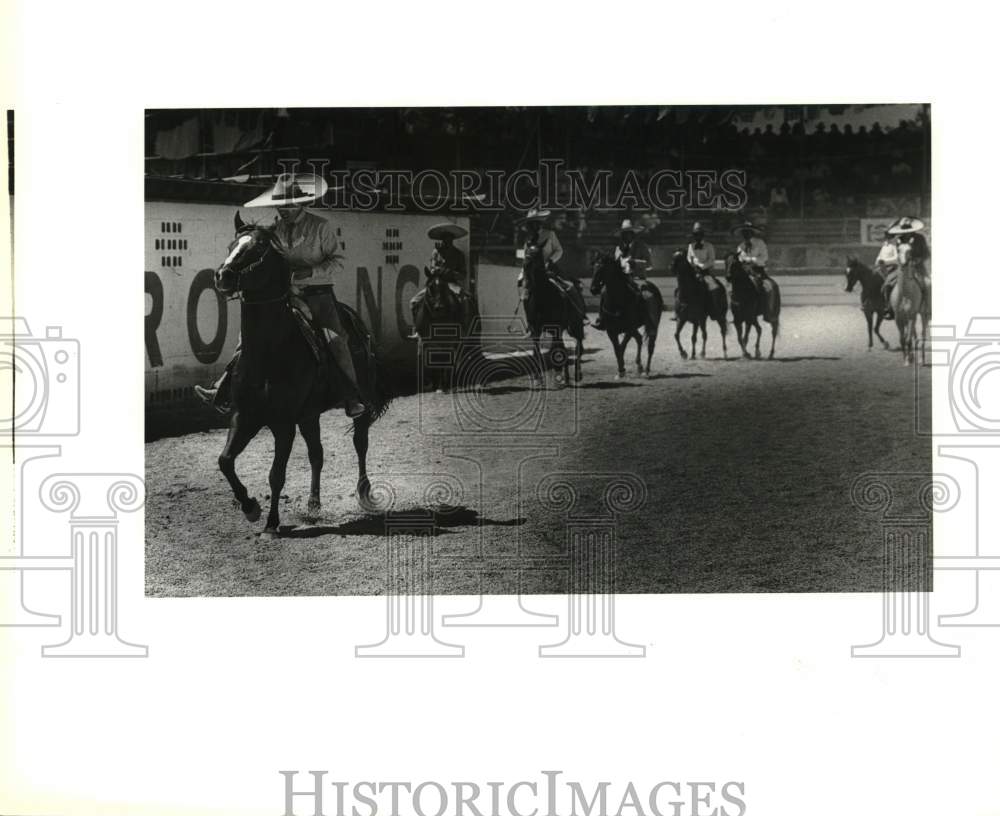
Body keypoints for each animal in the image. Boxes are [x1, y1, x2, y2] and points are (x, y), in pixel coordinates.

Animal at [213, 214, 392, 540]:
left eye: (258, 248)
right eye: (232, 244)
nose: (223, 276)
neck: (269, 354)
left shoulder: (283, 424)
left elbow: (276, 475)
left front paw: (271, 525)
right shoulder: (244, 416)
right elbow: (225, 461)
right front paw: (250, 507)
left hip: (358, 405)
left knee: (360, 443)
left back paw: (364, 493)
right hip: (309, 415)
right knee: (316, 454)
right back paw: (313, 504)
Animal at [524, 242, 584, 386]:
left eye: (537, 254)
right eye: (526, 251)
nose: (526, 264)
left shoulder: (557, 329)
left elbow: (558, 352)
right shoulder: (536, 330)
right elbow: (537, 352)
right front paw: (537, 378)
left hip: (575, 326)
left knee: (578, 345)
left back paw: (576, 374)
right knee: (562, 348)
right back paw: (565, 376)